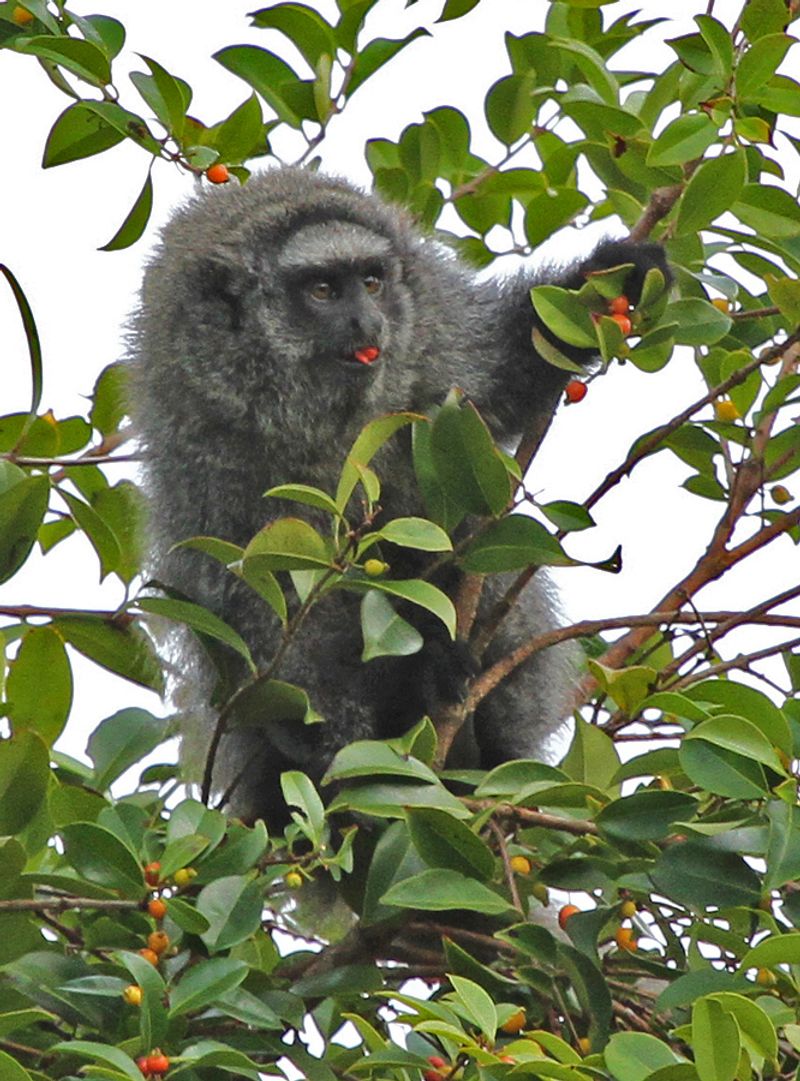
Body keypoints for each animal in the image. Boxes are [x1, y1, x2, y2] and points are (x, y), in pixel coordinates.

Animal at [130, 166, 669, 825]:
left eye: (371, 282)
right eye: (322, 291)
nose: (367, 322)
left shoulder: (432, 329)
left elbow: (502, 374)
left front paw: (609, 280)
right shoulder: (205, 455)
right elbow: (266, 605)